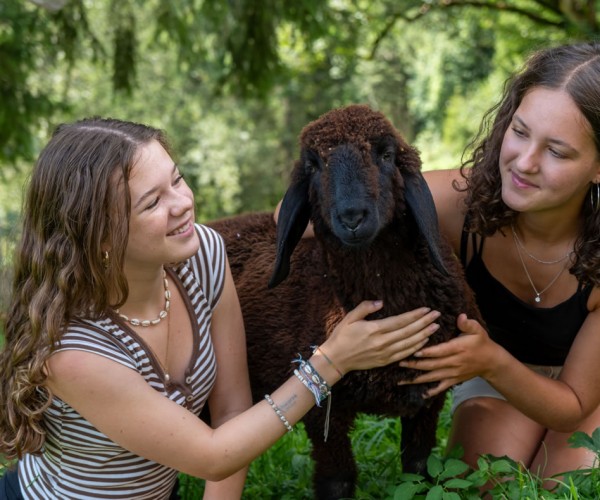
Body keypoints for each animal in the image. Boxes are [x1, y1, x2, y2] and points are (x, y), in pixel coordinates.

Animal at [209, 103, 480, 498]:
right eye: (313, 165)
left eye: (386, 155)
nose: (352, 218)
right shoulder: (322, 408)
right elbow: (337, 481)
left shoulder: (430, 395)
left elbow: (420, 471)